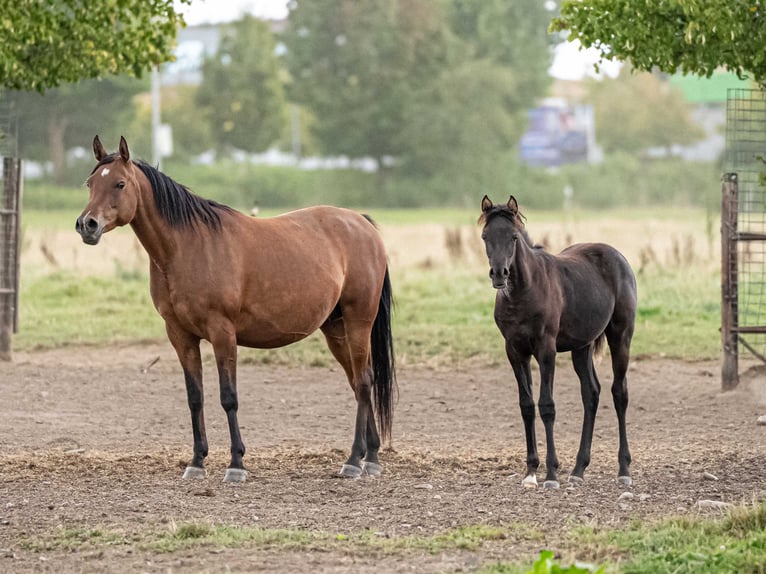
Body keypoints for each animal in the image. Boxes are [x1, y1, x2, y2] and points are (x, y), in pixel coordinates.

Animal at [76, 136, 397, 482]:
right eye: (90, 183)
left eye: (120, 184)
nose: (87, 225)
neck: (188, 247)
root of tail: (362, 224)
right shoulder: (180, 335)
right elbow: (195, 397)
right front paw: (197, 462)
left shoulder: (222, 333)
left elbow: (228, 398)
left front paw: (236, 464)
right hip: (336, 329)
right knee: (358, 382)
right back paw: (370, 456)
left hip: (358, 322)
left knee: (363, 381)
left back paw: (353, 460)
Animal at [479, 195, 637, 489]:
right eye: (485, 236)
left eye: (514, 237)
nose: (499, 274)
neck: (523, 292)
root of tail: (619, 257)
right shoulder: (515, 350)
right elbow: (527, 406)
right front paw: (531, 472)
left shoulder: (546, 349)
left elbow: (547, 406)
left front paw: (551, 474)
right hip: (581, 347)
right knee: (591, 393)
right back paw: (578, 469)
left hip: (621, 336)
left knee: (619, 393)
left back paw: (623, 470)